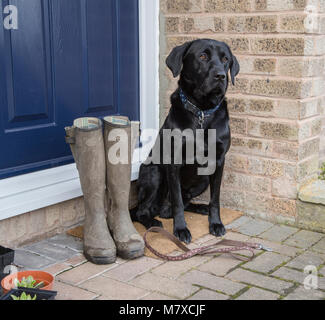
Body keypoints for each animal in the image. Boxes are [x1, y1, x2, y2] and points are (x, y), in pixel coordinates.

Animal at [130, 38, 239, 244]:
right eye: (202, 56)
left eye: (225, 59)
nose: (221, 76)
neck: (202, 112)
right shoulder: (173, 162)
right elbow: (178, 202)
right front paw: (180, 229)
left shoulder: (219, 161)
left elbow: (215, 199)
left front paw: (216, 223)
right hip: (154, 173)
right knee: (143, 211)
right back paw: (154, 222)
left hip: (203, 179)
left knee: (185, 200)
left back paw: (200, 208)